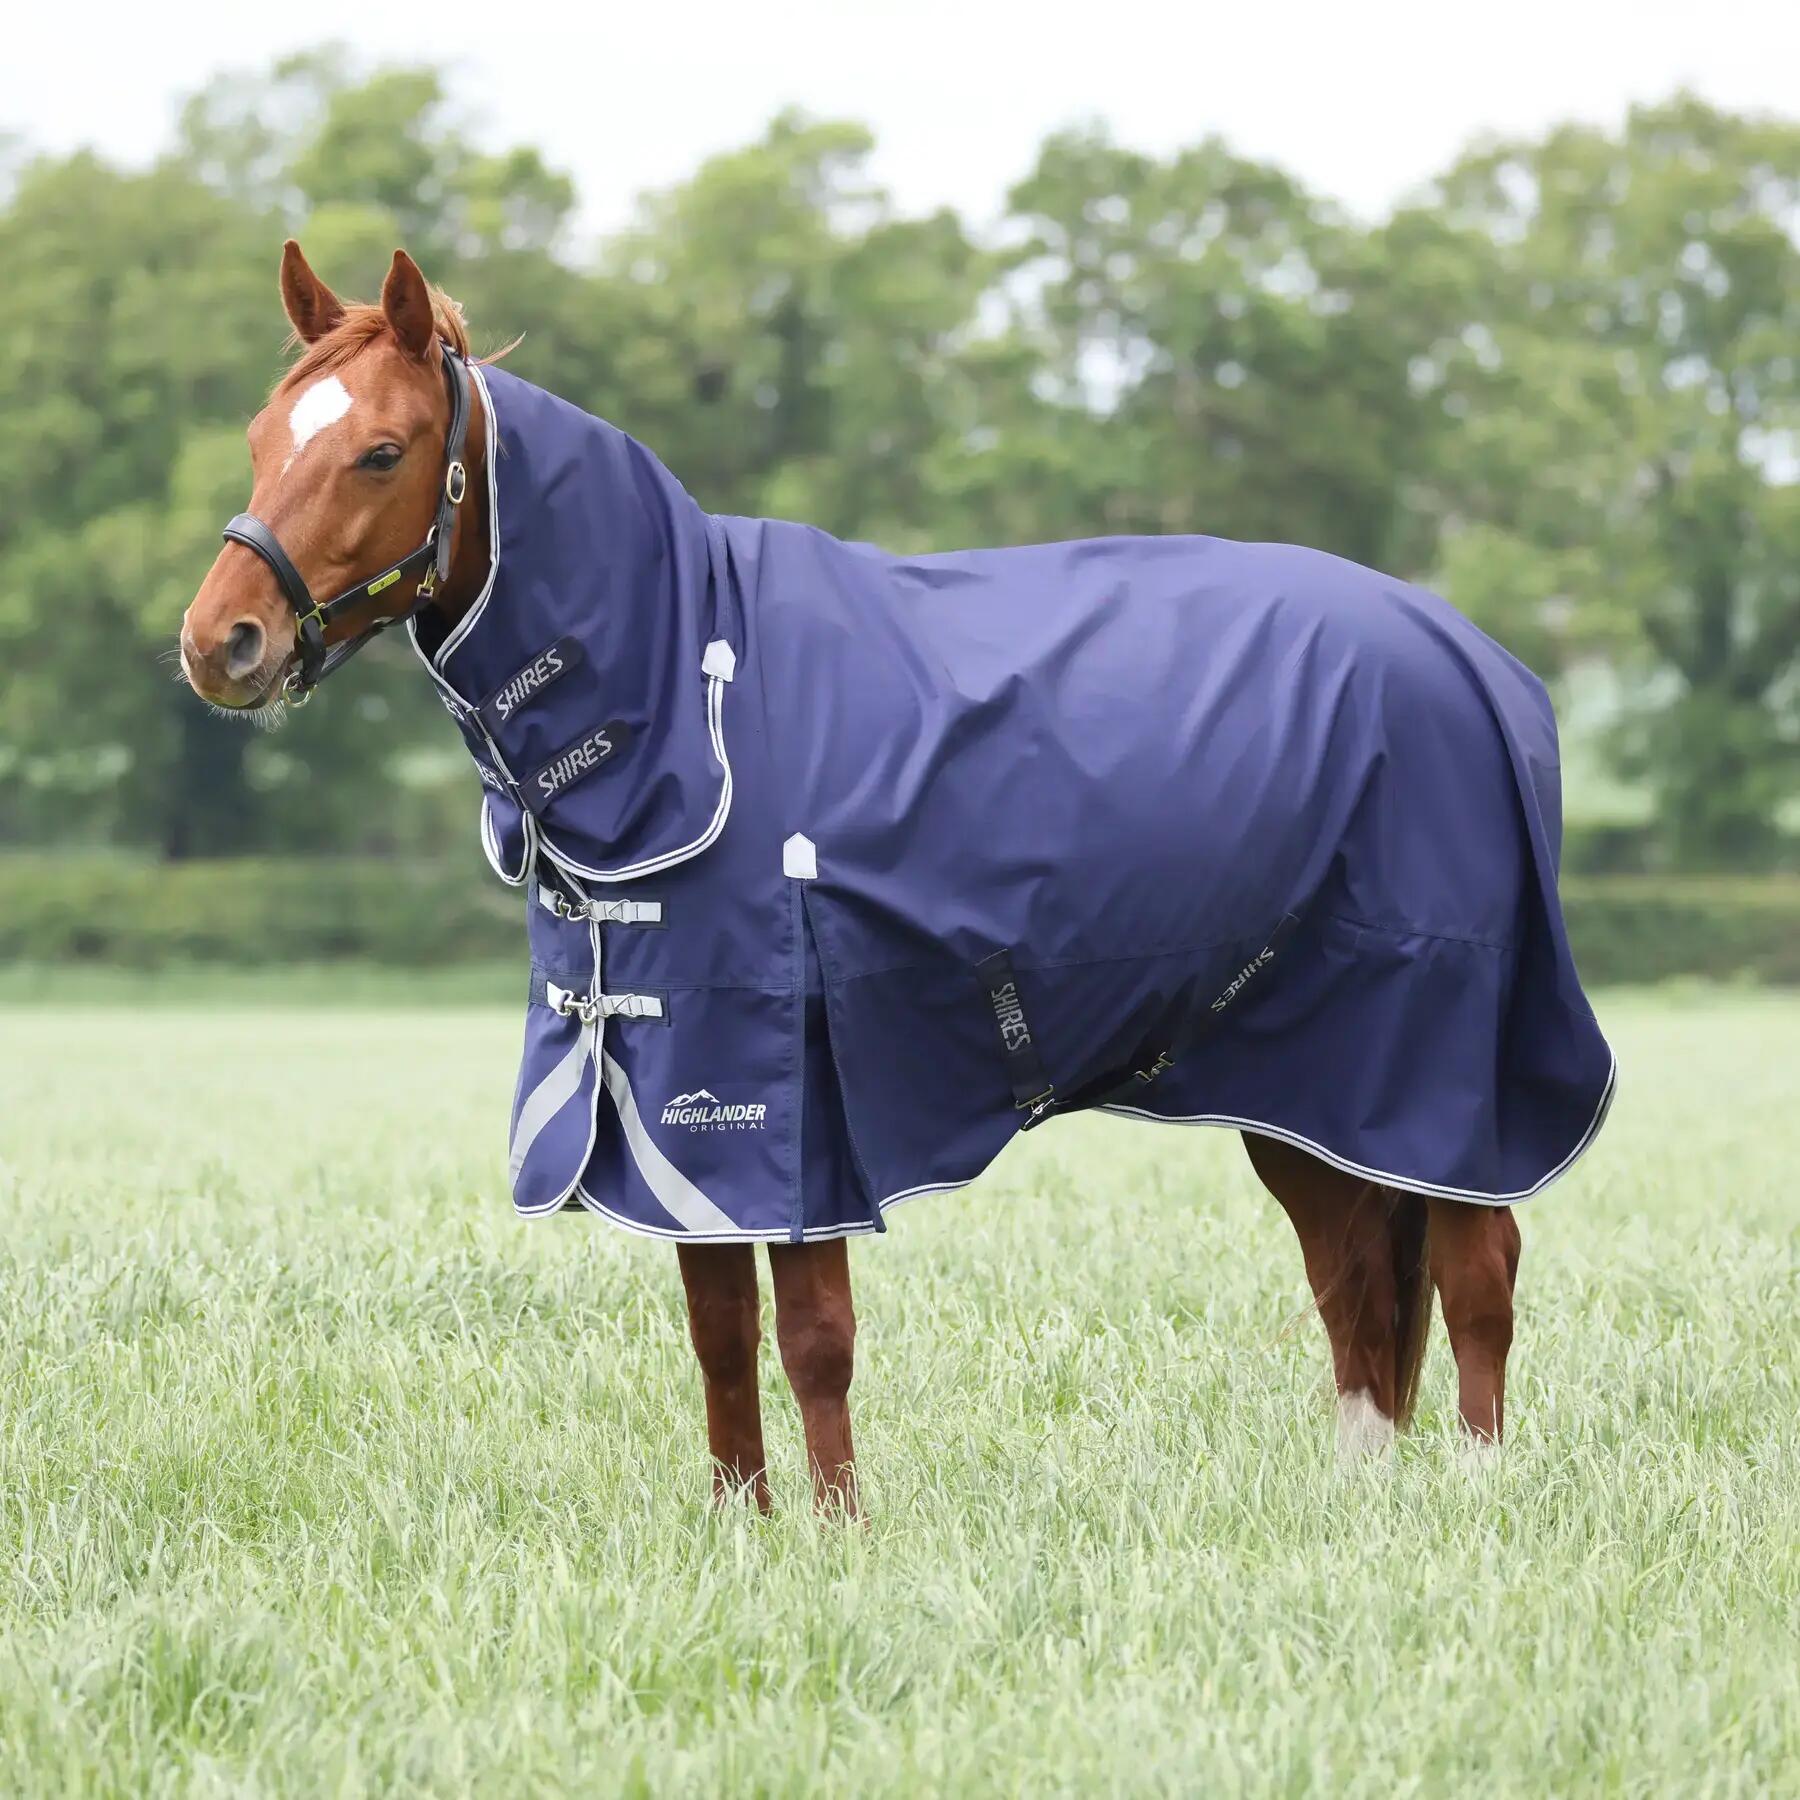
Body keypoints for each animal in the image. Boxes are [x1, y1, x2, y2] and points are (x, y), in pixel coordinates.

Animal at [179, 243, 1612, 1512]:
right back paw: (1365, 1495)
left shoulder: (789, 1091)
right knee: (1357, 1276)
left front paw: (839, 1528)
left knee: (1478, 1264)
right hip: (1304, 1079)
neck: (687, 693)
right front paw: (741, 1524)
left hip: (1437, 1060)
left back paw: (1477, 1491)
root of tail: (1476, 661)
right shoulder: (672, 1096)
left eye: (380, 449)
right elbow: (718, 1331)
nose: (218, 643)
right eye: (260, 435)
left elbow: (814, 1332)